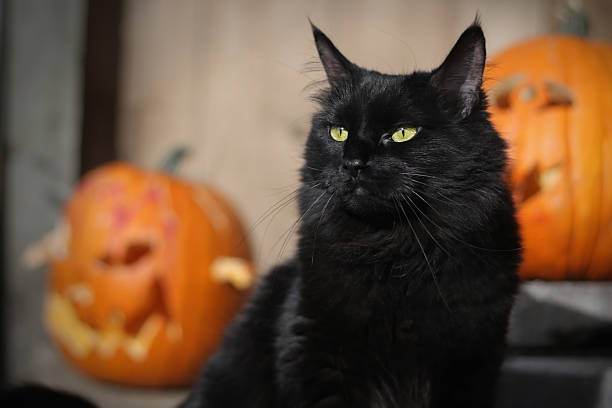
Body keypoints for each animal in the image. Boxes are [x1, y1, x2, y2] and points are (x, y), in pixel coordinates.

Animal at [182, 20, 520, 408]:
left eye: (403, 133)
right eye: (338, 131)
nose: (353, 163)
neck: (392, 254)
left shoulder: (472, 361)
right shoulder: (316, 355)